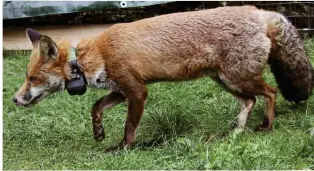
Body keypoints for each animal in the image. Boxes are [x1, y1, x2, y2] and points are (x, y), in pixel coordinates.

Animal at [12, 6, 312, 149]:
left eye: (33, 79)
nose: (15, 99)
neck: (89, 57)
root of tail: (259, 12)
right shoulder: (120, 89)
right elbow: (96, 106)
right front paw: (98, 131)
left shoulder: (136, 91)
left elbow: (129, 127)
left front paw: (122, 148)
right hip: (226, 80)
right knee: (250, 101)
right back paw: (236, 131)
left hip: (238, 77)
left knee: (271, 92)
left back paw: (267, 126)